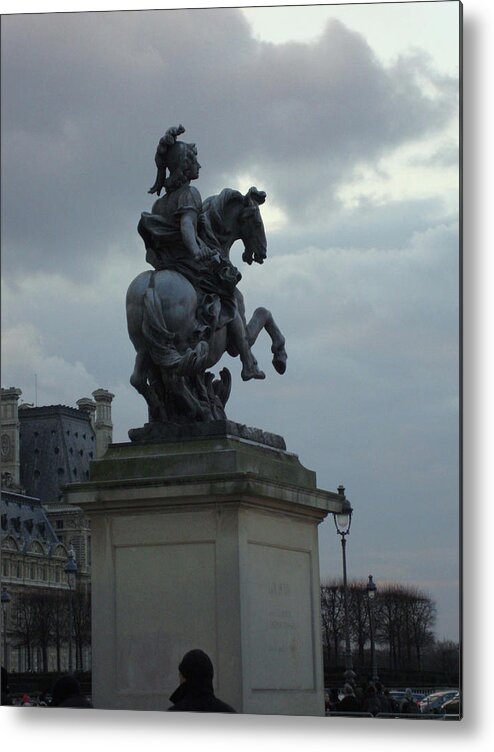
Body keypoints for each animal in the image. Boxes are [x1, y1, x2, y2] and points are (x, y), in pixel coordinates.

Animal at [125, 186, 288, 426]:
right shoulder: (238, 329)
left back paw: (163, 412)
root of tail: (152, 284)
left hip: (144, 345)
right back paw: (199, 411)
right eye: (257, 222)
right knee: (174, 379)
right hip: (179, 342)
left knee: (139, 379)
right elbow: (263, 314)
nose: (262, 253)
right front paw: (276, 358)